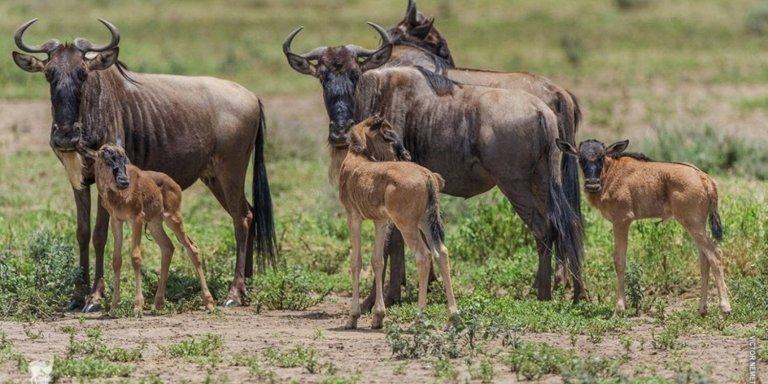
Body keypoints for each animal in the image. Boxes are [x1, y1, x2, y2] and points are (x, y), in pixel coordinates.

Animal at [90, 143, 216, 316]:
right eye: (107, 159)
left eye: (124, 159)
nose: (124, 181)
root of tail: (174, 184)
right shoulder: (117, 221)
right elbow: (116, 260)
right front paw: (114, 308)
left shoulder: (136, 219)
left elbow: (135, 257)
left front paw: (137, 307)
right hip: (154, 223)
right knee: (168, 247)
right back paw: (158, 304)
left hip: (173, 218)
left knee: (192, 248)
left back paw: (210, 304)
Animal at [338, 115, 456, 328]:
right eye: (387, 135)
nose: (406, 155)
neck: (357, 158)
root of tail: (427, 176)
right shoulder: (381, 222)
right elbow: (377, 260)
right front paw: (378, 317)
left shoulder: (353, 217)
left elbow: (356, 261)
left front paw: (353, 317)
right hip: (425, 222)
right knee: (441, 252)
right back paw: (454, 316)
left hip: (407, 225)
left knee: (424, 255)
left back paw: (420, 317)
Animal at [556, 138, 728, 318]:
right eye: (581, 159)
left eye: (601, 157)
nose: (592, 185)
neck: (610, 173)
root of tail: (705, 178)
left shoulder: (622, 221)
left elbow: (619, 261)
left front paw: (619, 308)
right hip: (696, 225)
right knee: (705, 260)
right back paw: (702, 309)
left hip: (692, 223)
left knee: (715, 255)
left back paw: (724, 308)